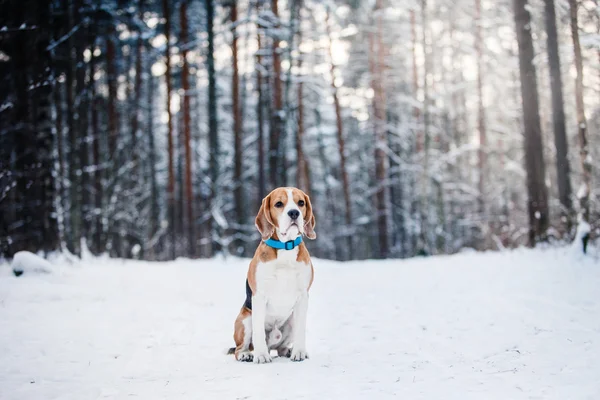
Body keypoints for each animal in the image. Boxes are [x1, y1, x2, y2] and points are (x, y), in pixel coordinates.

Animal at [227, 187, 316, 362]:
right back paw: (248, 354)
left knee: (281, 348)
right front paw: (261, 356)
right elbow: (259, 331)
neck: (285, 247)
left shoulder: (303, 296)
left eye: (301, 203)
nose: (294, 213)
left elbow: (301, 329)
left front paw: (299, 352)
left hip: (291, 320)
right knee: (239, 348)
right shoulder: (259, 296)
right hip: (245, 319)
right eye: (279, 204)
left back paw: (288, 351)